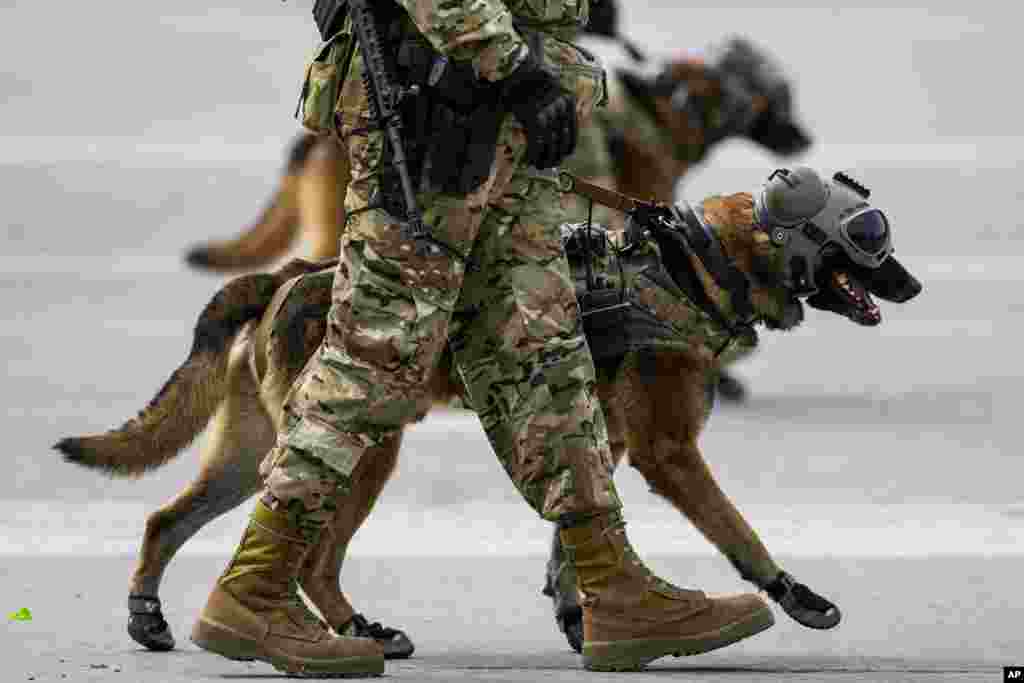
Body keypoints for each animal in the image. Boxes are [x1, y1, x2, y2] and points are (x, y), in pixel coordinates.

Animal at [54, 165, 921, 655]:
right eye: (869, 236)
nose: (912, 285)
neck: (695, 263)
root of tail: (292, 271)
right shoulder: (668, 454)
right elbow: (737, 529)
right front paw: (793, 593)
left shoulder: (595, 439)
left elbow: (572, 534)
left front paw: (584, 613)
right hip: (365, 445)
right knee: (307, 552)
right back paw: (339, 630)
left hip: (249, 451)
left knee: (170, 517)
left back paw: (155, 616)